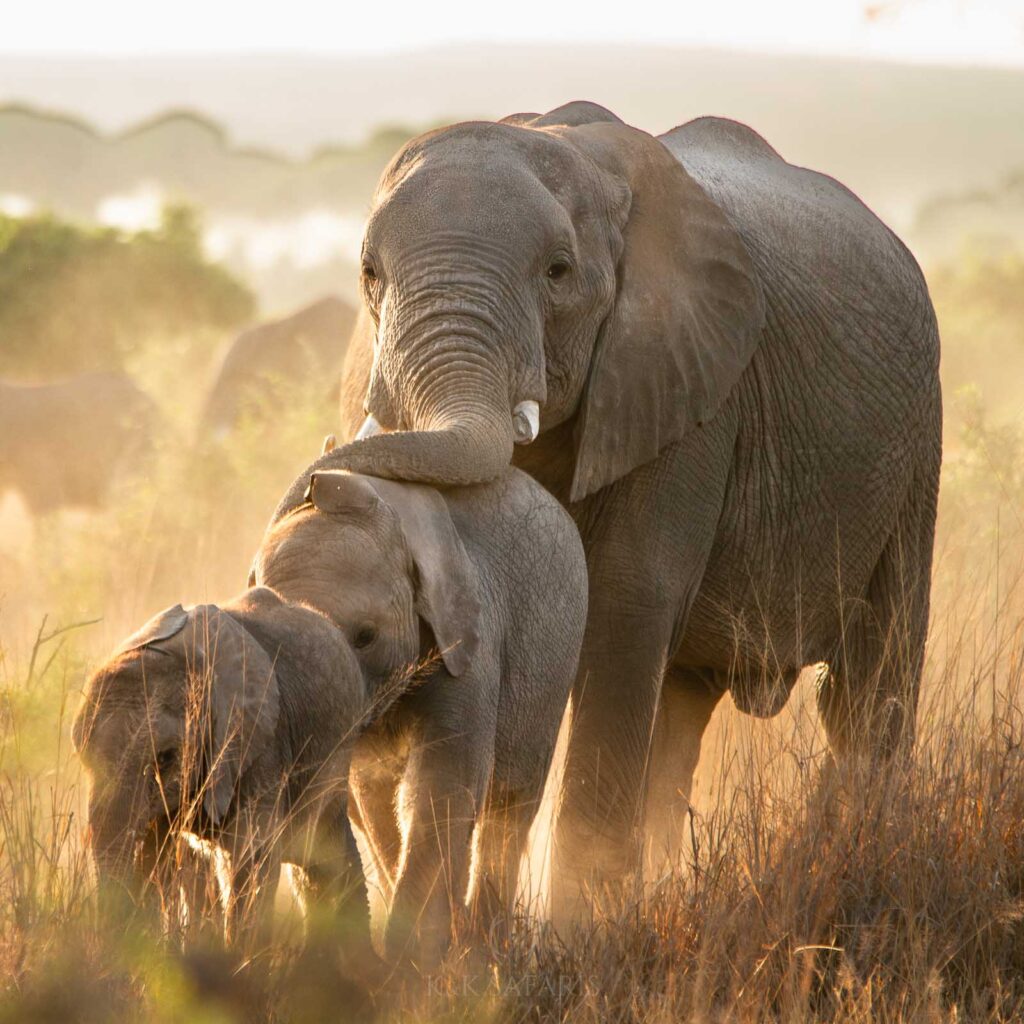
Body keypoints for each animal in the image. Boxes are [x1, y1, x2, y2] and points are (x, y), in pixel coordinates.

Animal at [253, 461, 587, 960]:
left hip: (553, 656)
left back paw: (483, 948)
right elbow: (371, 792)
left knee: (510, 801)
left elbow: (442, 782)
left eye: (366, 636)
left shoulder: (469, 642)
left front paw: (407, 963)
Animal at [268, 102, 943, 923]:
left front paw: (571, 926)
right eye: (370, 275)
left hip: (917, 442)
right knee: (686, 703)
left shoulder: (688, 391)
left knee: (869, 681)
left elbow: (625, 602)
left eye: (557, 272)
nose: (320, 474)